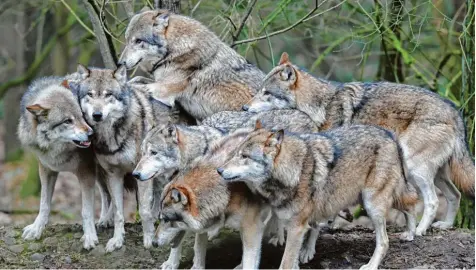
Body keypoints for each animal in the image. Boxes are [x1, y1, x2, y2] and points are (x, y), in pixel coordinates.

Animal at [17, 76, 98, 249]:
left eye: (81, 115)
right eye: (68, 121)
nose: (91, 134)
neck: (58, 150)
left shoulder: (86, 171)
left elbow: (86, 210)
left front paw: (89, 236)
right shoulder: (46, 170)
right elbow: (44, 204)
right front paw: (36, 229)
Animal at [72, 64, 182, 252]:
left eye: (108, 94)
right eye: (90, 94)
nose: (97, 115)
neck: (113, 135)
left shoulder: (140, 175)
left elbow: (144, 210)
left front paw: (148, 239)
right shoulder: (114, 174)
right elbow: (118, 212)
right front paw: (117, 240)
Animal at [115, 8, 264, 120]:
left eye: (138, 41)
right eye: (127, 40)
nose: (119, 63)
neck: (173, 51)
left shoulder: (164, 90)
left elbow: (137, 86)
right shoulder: (160, 81)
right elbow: (137, 79)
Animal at [218, 125, 418, 270]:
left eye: (244, 156)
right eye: (235, 153)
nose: (218, 170)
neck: (294, 171)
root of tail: (389, 135)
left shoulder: (296, 227)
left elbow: (285, 263)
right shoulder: (293, 225)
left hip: (371, 204)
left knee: (385, 241)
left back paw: (371, 265)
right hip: (358, 199)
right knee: (410, 205)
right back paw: (410, 233)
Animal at [244, 51, 474, 235]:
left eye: (266, 93)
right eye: (260, 90)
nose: (245, 108)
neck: (320, 106)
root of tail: (455, 110)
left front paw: (328, 222)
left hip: (415, 169)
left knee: (433, 201)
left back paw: (418, 231)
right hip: (437, 173)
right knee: (456, 195)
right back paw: (445, 225)